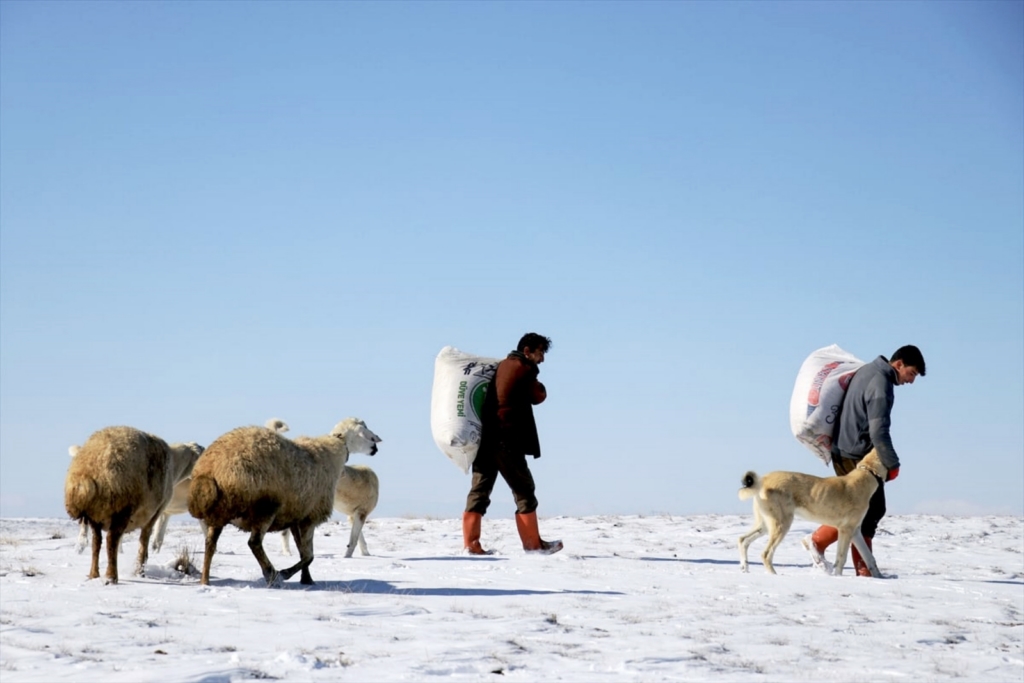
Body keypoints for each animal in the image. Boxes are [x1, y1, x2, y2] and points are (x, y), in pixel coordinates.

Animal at [64, 428, 203, 581]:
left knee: (97, 541)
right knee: (111, 539)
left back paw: (94, 574)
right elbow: (145, 541)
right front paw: (140, 572)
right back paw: (111, 576)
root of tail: (86, 475)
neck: (175, 465)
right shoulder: (156, 510)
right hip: (121, 504)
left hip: (96, 511)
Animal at [187, 417, 380, 589]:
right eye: (365, 431)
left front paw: (307, 580)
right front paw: (287, 573)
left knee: (210, 544)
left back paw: (205, 581)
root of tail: (209, 470)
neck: (331, 453)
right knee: (254, 543)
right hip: (265, 508)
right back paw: (272, 575)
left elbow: (303, 553)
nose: (376, 447)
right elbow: (309, 556)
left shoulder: (296, 516)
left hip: (220, 512)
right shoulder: (310, 516)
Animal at [737, 450, 888, 581]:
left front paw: (879, 577)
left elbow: (869, 557)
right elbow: (841, 558)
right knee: (766, 554)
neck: (868, 473)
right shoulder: (847, 530)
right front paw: (839, 578)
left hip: (765, 525)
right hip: (782, 524)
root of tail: (762, 479)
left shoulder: (855, 531)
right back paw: (774, 575)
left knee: (743, 540)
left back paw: (745, 568)